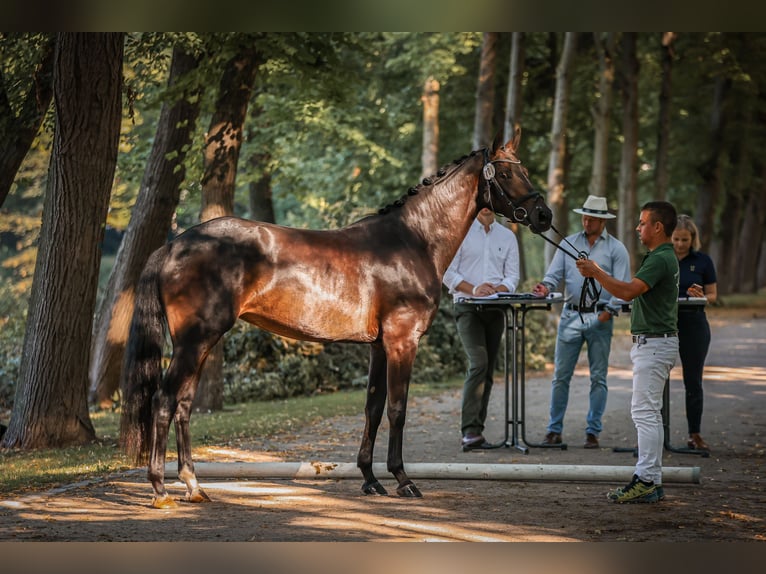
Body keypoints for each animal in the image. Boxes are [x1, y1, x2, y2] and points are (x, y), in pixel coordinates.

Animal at [120, 128, 552, 510]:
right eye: (508, 174)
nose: (543, 215)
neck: (412, 242)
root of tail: (175, 244)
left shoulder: (379, 346)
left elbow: (373, 408)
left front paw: (371, 479)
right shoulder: (402, 341)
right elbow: (398, 409)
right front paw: (403, 480)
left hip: (200, 343)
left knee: (183, 404)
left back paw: (194, 486)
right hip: (195, 341)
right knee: (163, 400)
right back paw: (160, 490)